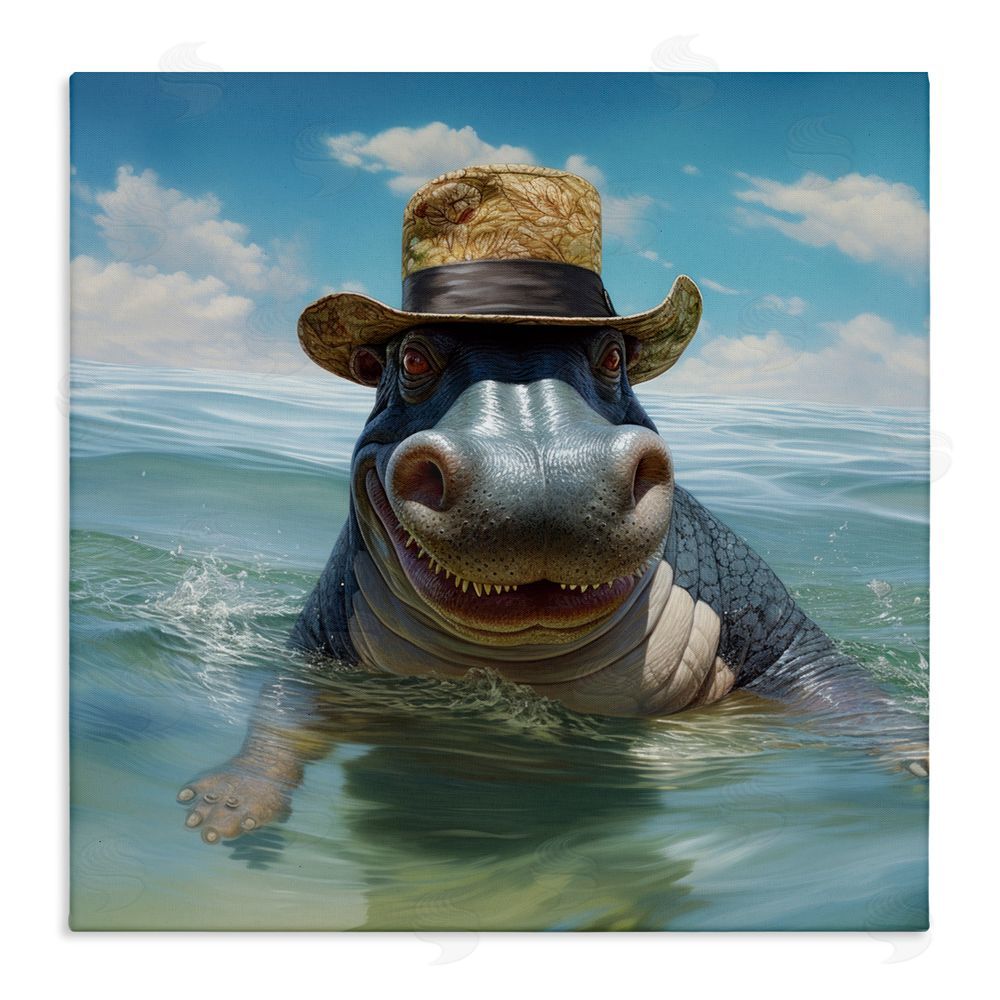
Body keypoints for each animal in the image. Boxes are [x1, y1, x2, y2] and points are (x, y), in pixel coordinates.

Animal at [178, 165, 926, 843]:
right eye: (410, 359)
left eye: (614, 356)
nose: (541, 471)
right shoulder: (316, 650)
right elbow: (283, 709)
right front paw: (223, 807)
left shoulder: (778, 630)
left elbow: (847, 692)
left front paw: (919, 757)